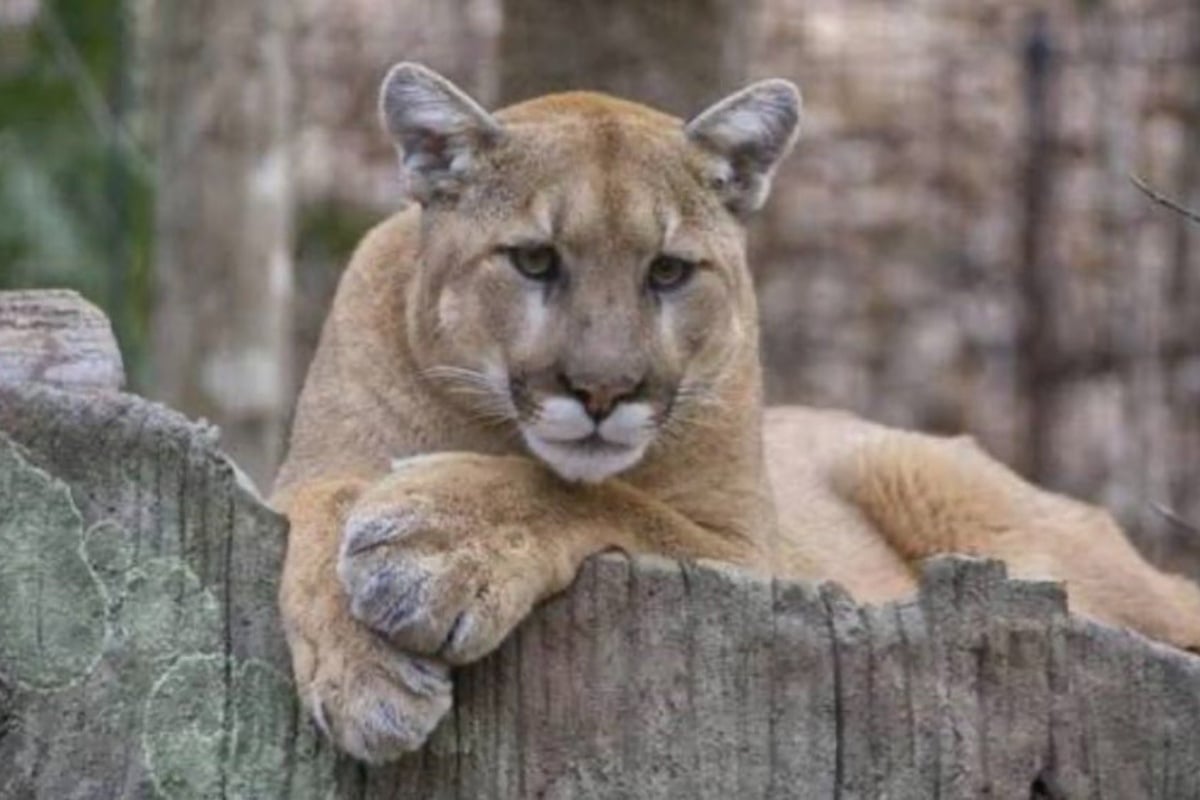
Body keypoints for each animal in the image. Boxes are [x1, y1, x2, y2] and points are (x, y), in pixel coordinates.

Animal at [273, 63, 1200, 763]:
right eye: (534, 260)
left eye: (669, 271)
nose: (603, 392)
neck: (491, 430)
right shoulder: (301, 477)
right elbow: (320, 504)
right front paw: (365, 675)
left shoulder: (755, 556)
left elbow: (612, 503)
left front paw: (437, 541)